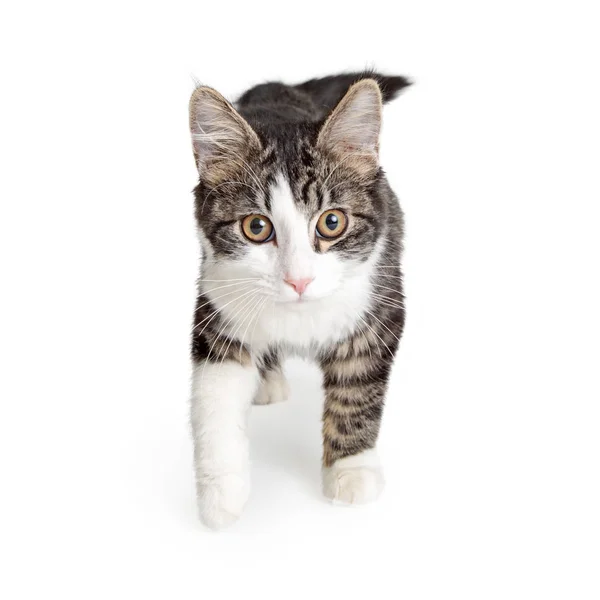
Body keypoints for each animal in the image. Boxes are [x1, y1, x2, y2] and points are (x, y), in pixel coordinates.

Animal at [190, 71, 410, 528]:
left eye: (332, 222)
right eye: (256, 227)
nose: (298, 280)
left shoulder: (380, 301)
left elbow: (357, 389)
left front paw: (351, 471)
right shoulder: (217, 300)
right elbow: (213, 401)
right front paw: (220, 494)